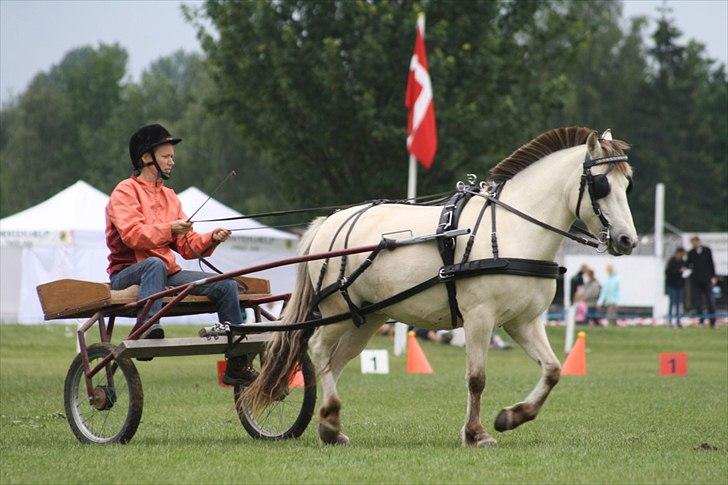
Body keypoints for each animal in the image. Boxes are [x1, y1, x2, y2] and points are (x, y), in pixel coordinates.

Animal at [242, 125, 636, 446]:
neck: (513, 230)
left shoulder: (523, 321)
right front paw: (476, 434)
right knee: (318, 349)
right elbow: (477, 377)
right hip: (335, 309)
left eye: (628, 183)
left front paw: (510, 417)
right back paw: (330, 418)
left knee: (335, 362)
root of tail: (329, 221)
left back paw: (330, 425)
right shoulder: (479, 317)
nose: (627, 240)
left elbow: (553, 370)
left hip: (366, 318)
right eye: (601, 185)